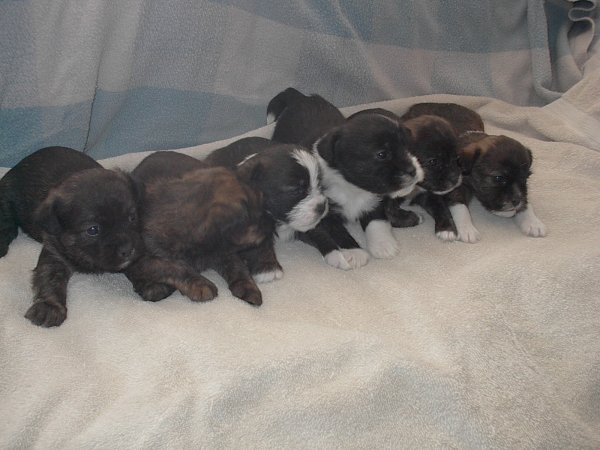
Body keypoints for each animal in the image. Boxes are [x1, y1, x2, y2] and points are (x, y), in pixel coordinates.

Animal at [0, 146, 143, 327]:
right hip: (6, 197)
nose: (128, 250)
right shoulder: (54, 255)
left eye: (132, 217)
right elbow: (50, 280)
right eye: (93, 230)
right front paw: (49, 307)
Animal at [125, 153, 271, 306]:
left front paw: (248, 286)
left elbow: (237, 266)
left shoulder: (225, 251)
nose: (272, 224)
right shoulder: (140, 259)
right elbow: (173, 266)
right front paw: (200, 284)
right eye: (257, 219)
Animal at [267, 88, 423, 270]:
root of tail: (300, 96)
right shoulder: (325, 214)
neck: (351, 187)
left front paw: (383, 245)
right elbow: (339, 232)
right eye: (382, 154)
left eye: (408, 148)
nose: (413, 171)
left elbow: (376, 221)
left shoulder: (374, 201)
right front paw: (355, 252)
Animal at [400, 103, 547, 242]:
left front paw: (533, 222)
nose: (516, 201)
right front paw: (467, 229)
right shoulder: (457, 187)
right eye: (498, 178)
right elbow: (460, 207)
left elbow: (526, 202)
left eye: (525, 178)